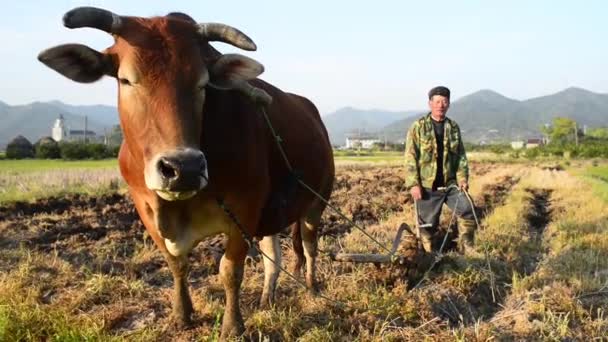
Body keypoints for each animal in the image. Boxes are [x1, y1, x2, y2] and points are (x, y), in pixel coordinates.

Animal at [39, 6, 332, 338]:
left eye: (203, 83)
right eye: (126, 80)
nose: (184, 169)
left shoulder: (244, 208)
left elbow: (230, 271)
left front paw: (232, 326)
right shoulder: (145, 208)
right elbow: (176, 263)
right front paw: (182, 314)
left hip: (316, 202)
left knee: (309, 246)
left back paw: (312, 287)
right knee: (274, 255)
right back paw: (266, 299)